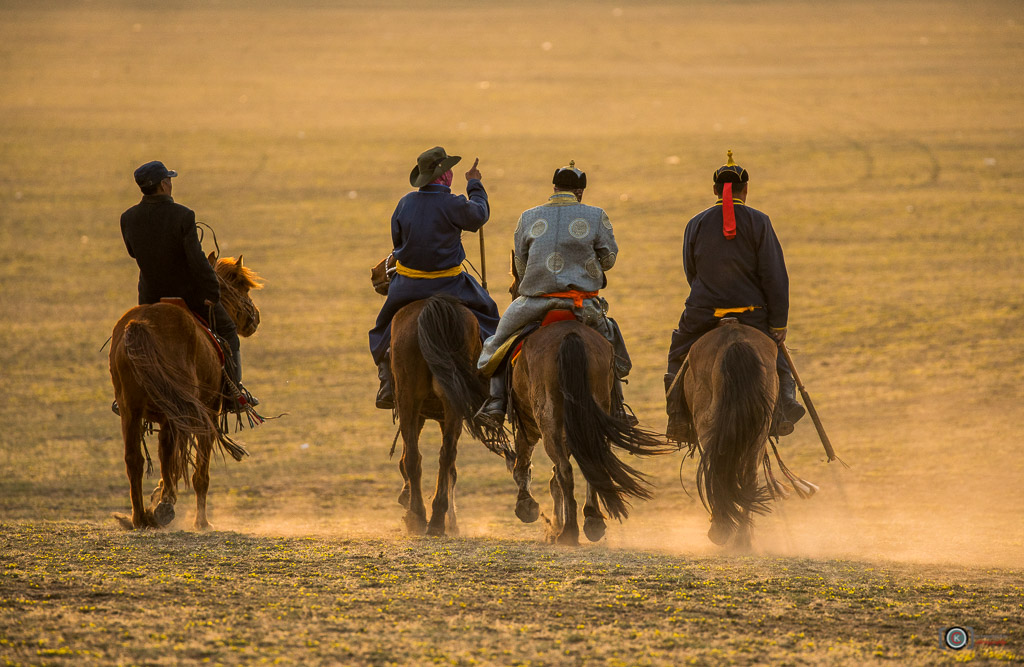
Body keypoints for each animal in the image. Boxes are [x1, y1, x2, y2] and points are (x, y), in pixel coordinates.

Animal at [109, 256, 264, 532]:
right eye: (242, 287)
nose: (255, 317)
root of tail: (140, 325)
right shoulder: (209, 413)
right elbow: (199, 471)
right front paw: (201, 522)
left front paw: (158, 496)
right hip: (176, 410)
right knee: (169, 451)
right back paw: (165, 507)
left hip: (130, 410)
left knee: (134, 459)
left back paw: (140, 518)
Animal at [387, 295, 507, 536]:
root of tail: (433, 305)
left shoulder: (419, 413)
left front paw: (406, 498)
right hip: (449, 404)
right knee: (445, 455)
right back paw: (436, 520)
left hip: (411, 399)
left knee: (417, 456)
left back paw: (419, 517)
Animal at [503, 253, 671, 545]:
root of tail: (570, 336)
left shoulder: (527, 423)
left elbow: (523, 463)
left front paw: (527, 507)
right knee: (591, 464)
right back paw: (592, 521)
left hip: (547, 422)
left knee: (565, 470)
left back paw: (569, 531)